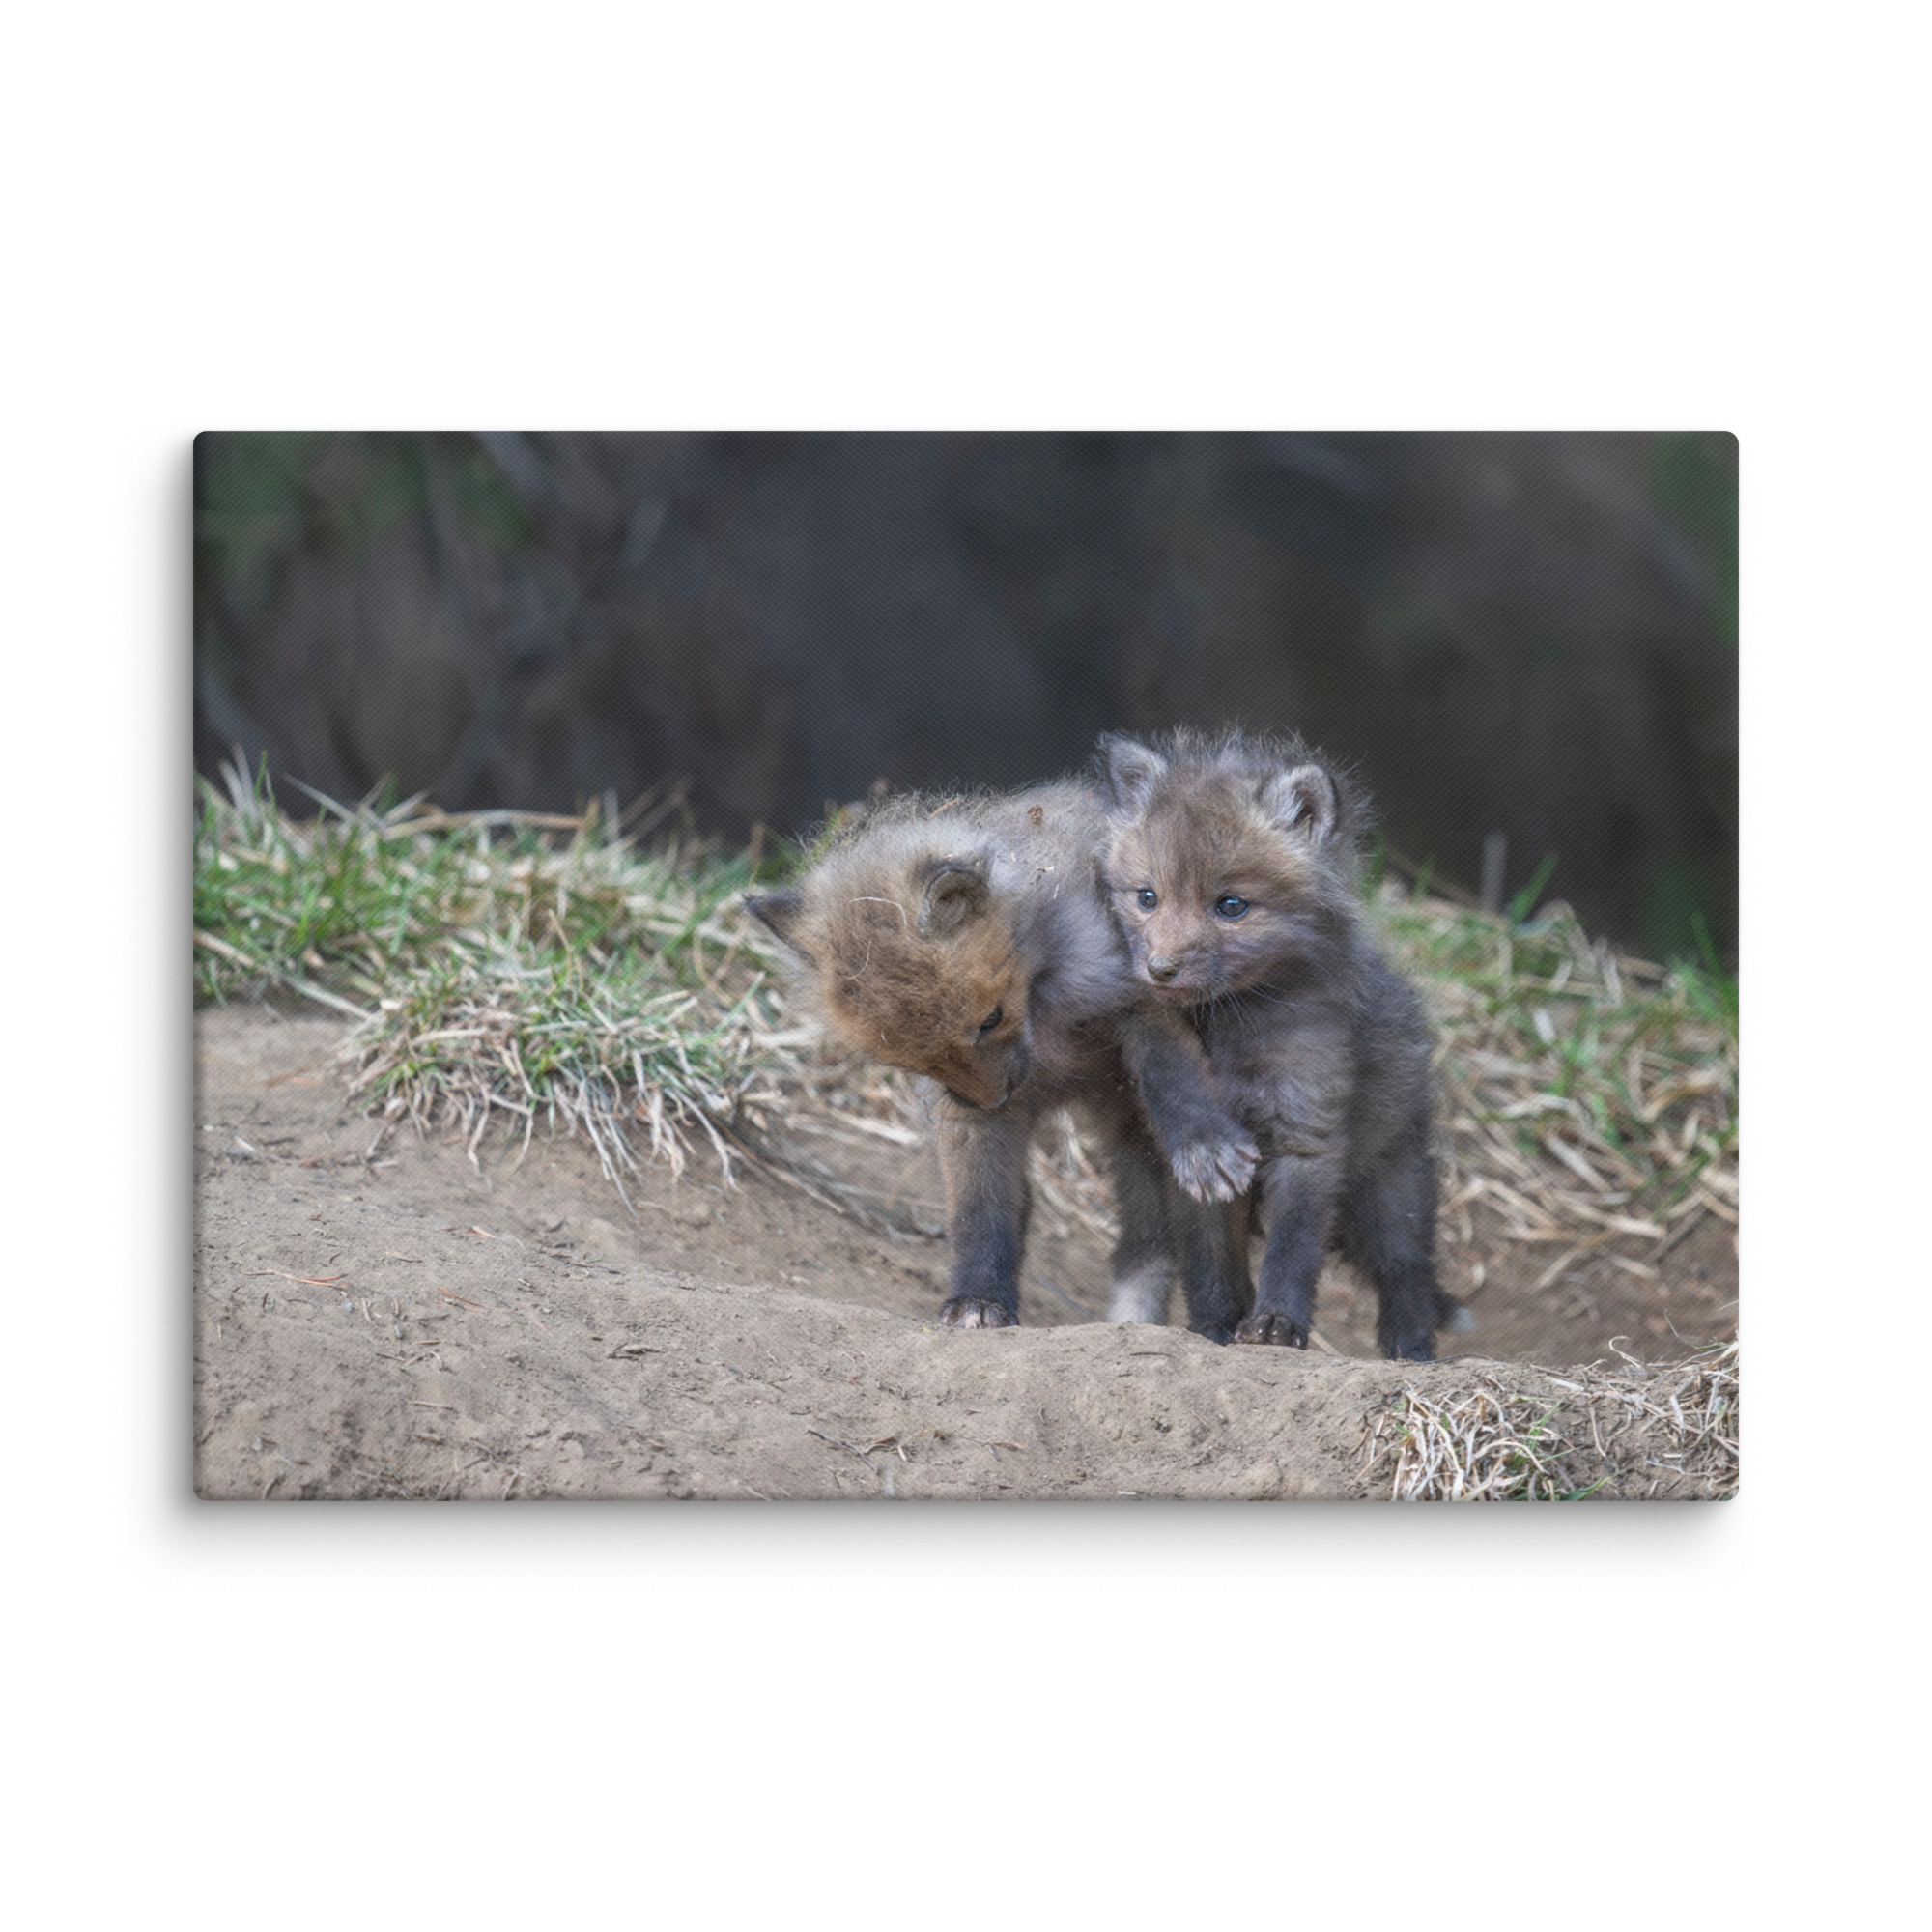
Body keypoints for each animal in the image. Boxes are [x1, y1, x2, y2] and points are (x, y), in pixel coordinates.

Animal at [745, 782, 1260, 1331]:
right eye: (913, 1061)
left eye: (990, 1020)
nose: (995, 1100)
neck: (1045, 1011)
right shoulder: (964, 1115)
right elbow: (981, 1210)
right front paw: (979, 1299)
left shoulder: (1141, 995)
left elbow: (1172, 1076)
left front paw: (1203, 1143)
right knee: (1141, 1240)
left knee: (1203, 1244)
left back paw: (1220, 1325)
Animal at [1096, 729, 1453, 1361]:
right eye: (1147, 897)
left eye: (1231, 906)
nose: (1159, 969)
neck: (1231, 1033)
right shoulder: (1197, 1166)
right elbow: (1210, 1262)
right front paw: (1215, 1329)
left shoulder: (1307, 1133)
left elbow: (1292, 1249)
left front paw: (1276, 1326)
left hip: (1391, 1192)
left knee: (1408, 1275)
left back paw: (1412, 1354)